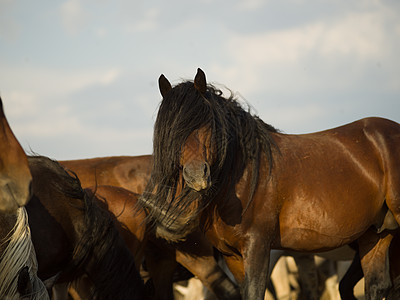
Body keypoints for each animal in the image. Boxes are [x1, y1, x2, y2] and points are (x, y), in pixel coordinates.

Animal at [139, 68, 400, 300]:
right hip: (376, 234)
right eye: (173, 130)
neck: (245, 177)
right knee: (377, 286)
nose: (197, 176)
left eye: (208, 124)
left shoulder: (259, 247)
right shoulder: (233, 256)